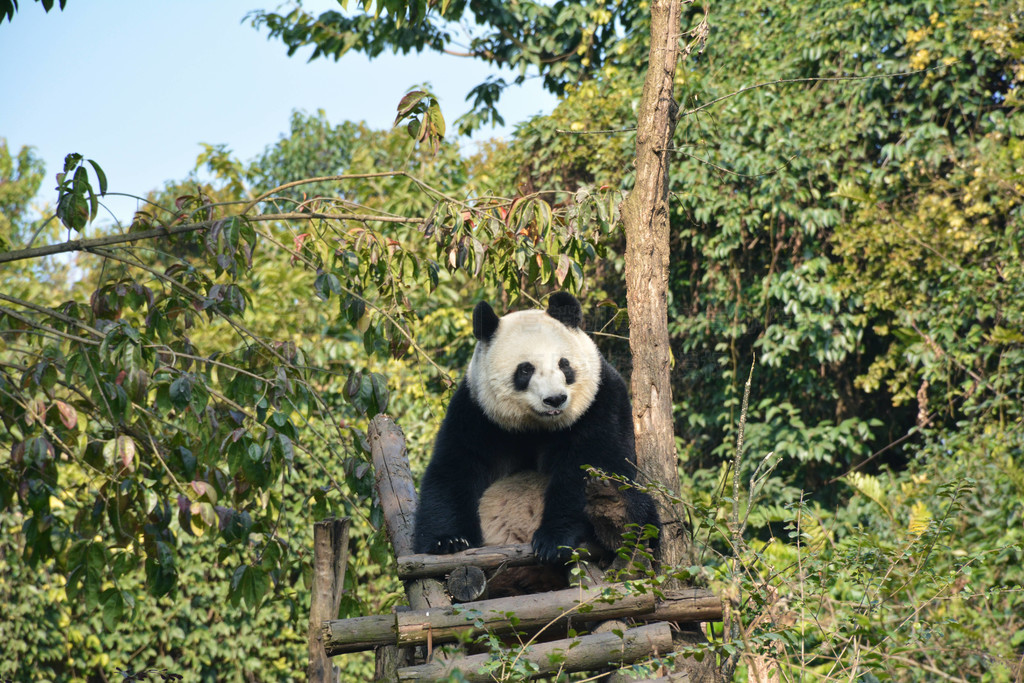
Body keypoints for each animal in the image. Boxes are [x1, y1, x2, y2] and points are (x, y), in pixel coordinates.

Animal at [411, 290, 659, 589]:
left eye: (564, 364)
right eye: (525, 370)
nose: (555, 399)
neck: (538, 426)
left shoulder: (600, 402)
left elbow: (589, 464)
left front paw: (553, 540)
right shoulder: (476, 413)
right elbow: (454, 468)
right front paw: (448, 541)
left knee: (639, 513)